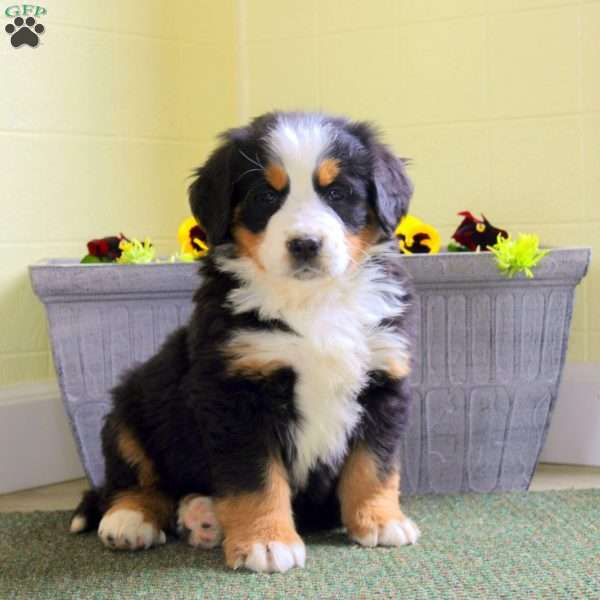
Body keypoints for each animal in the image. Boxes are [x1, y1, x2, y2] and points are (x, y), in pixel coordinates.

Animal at [69, 110, 418, 576]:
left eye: (338, 193)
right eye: (266, 196)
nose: (305, 244)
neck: (313, 303)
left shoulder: (383, 379)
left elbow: (374, 465)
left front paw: (380, 521)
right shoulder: (235, 391)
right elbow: (256, 479)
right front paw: (266, 542)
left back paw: (201, 517)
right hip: (132, 401)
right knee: (134, 476)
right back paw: (131, 519)